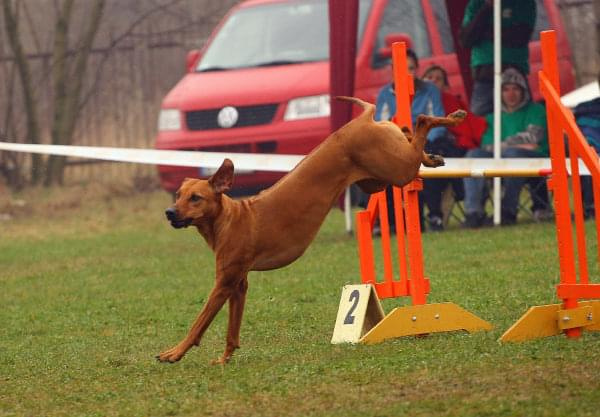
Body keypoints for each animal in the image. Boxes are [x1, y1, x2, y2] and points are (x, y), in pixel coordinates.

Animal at [158, 96, 464, 362]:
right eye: (178, 195)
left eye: (195, 198)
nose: (169, 212)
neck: (228, 219)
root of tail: (361, 120)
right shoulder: (238, 284)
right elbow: (232, 330)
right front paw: (224, 359)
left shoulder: (223, 283)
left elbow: (198, 323)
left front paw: (174, 353)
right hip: (378, 178)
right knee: (408, 133)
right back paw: (432, 157)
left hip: (395, 170)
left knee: (422, 120)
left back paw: (451, 120)